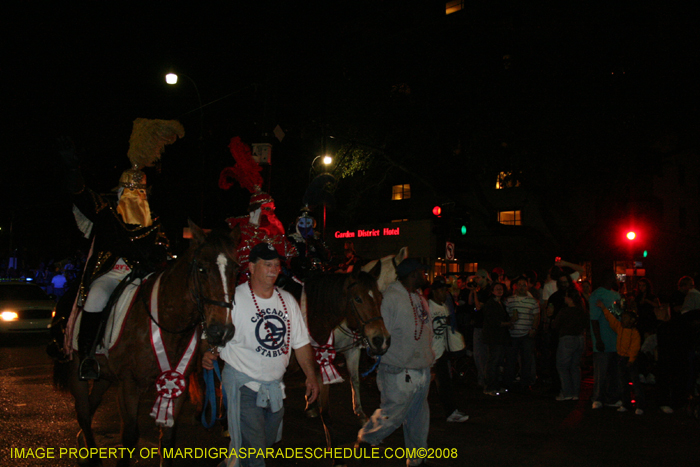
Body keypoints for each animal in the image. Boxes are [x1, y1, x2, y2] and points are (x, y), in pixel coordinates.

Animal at [52, 223, 241, 467]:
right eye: (201, 268)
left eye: (235, 269)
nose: (222, 330)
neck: (166, 322)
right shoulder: (130, 384)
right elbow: (130, 435)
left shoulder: (176, 382)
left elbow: (168, 438)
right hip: (76, 370)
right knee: (83, 411)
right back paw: (92, 456)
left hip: (104, 376)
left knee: (92, 404)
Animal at [302, 270, 392, 464]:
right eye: (358, 298)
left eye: (380, 296)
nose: (381, 340)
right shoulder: (321, 360)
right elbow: (325, 405)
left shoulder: (351, 350)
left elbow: (355, 379)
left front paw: (360, 414)